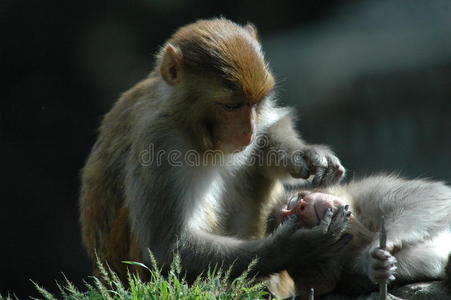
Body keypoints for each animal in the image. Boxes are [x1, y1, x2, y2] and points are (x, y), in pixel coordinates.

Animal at [80, 19, 350, 284]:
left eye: (256, 103)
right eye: (231, 106)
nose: (248, 132)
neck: (187, 123)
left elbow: (268, 133)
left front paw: (307, 155)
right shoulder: (160, 141)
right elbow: (165, 249)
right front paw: (294, 248)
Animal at [268, 175, 451, 298]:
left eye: (295, 200)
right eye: (295, 220)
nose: (301, 206)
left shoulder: (364, 192)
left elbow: (428, 196)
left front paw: (388, 239)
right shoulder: (347, 269)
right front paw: (374, 264)